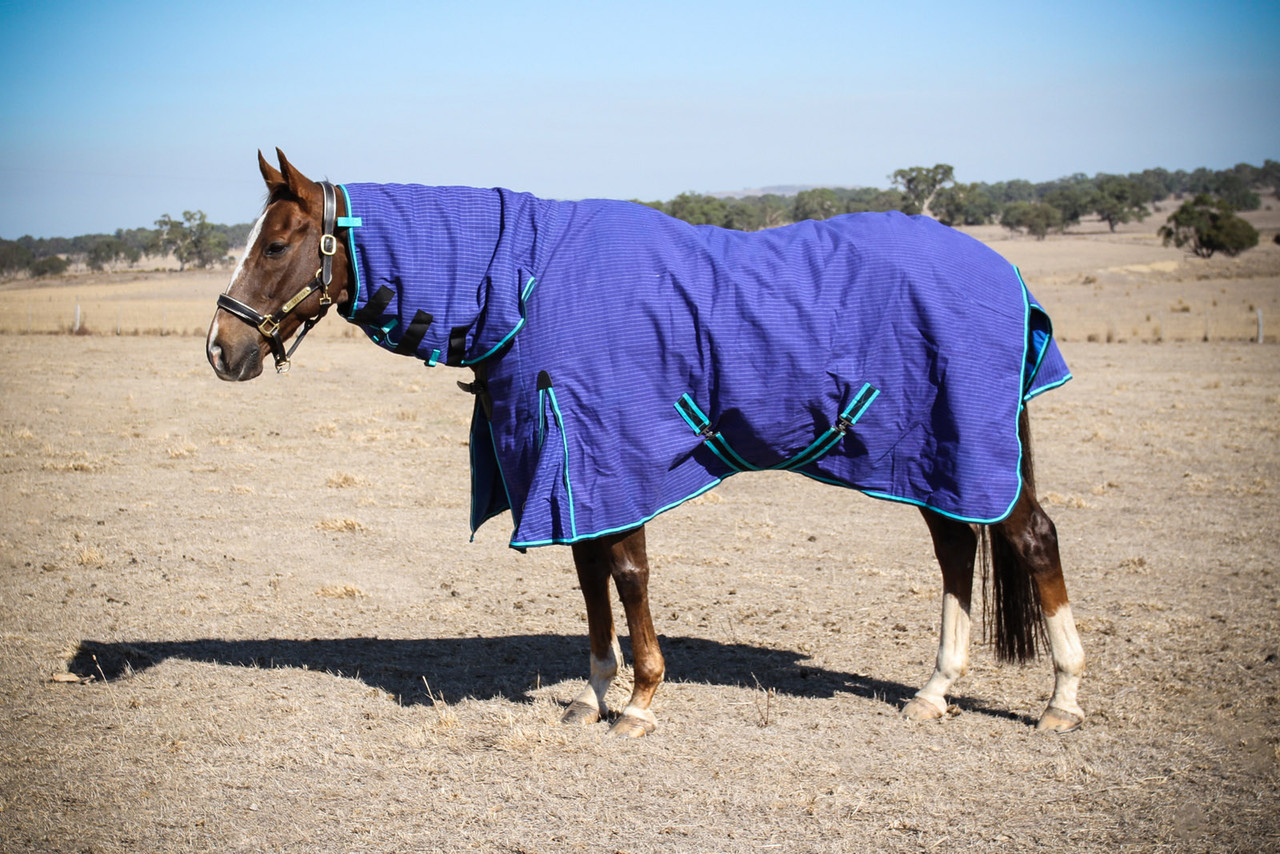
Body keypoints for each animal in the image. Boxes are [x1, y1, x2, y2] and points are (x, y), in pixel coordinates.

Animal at [207, 149, 1085, 737]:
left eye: (277, 245)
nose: (221, 348)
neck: (526, 278)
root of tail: (1004, 270)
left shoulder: (605, 457)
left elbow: (626, 575)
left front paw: (640, 701)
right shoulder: (564, 470)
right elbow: (588, 575)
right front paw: (596, 692)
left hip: (969, 449)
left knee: (1033, 539)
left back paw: (1063, 699)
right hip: (933, 457)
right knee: (956, 549)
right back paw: (934, 692)